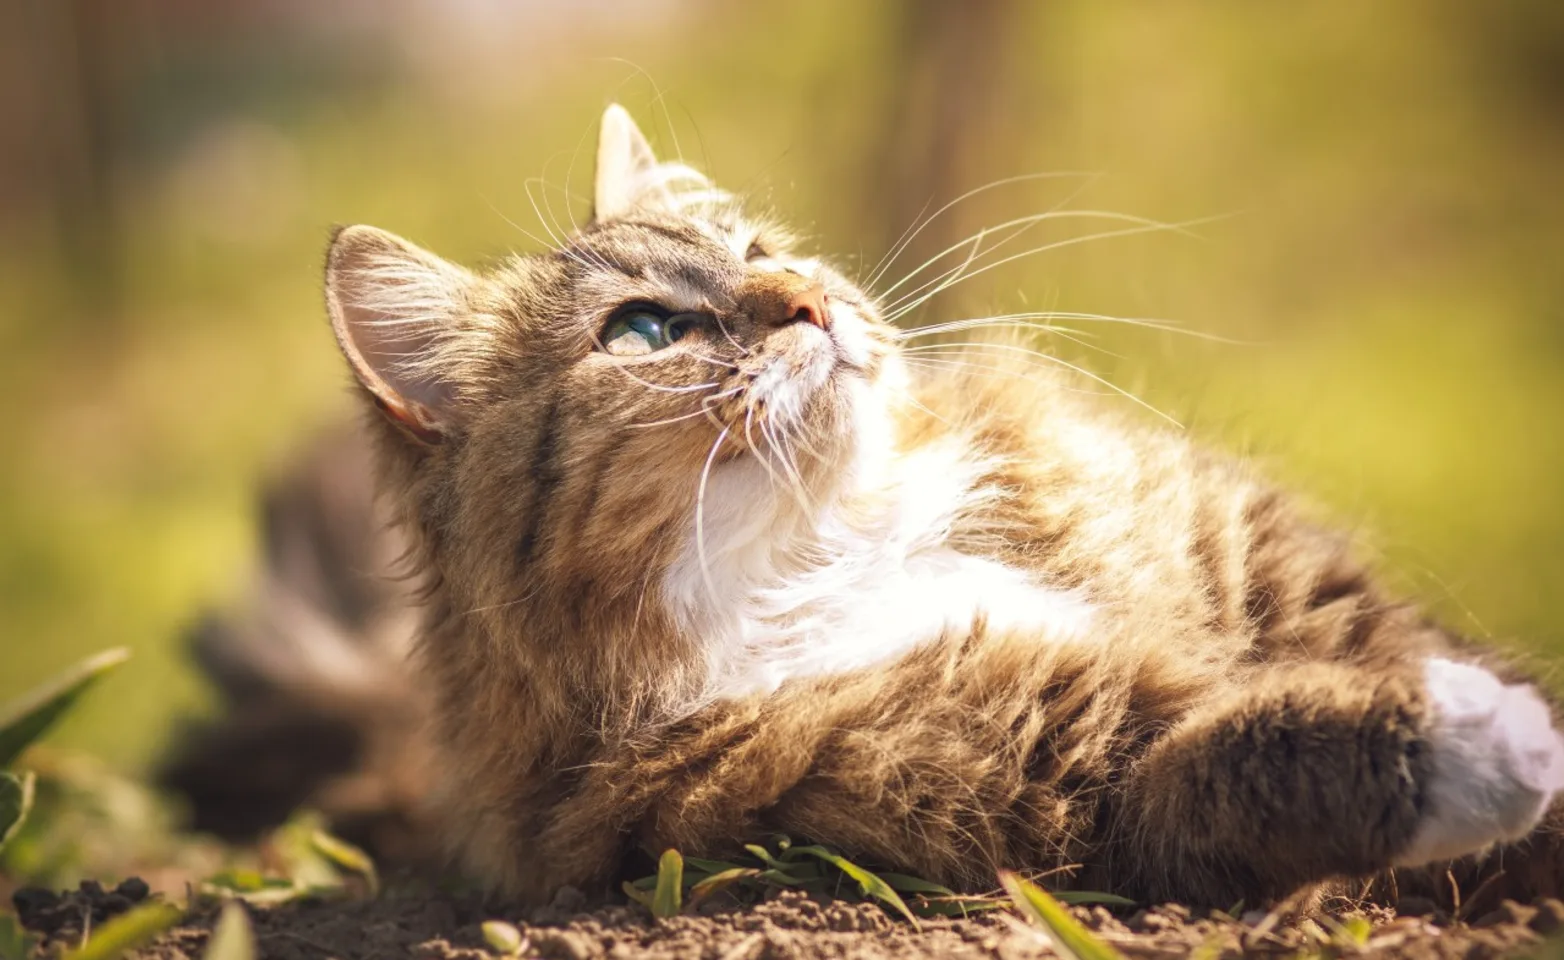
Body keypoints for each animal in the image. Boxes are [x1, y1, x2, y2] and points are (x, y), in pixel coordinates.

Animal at [168, 107, 1564, 919]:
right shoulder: (1052, 777)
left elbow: (1394, 649)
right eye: (644, 332)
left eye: (757, 246)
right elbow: (1265, 746)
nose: (807, 298)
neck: (842, 543)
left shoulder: (1279, 575)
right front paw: (1487, 741)